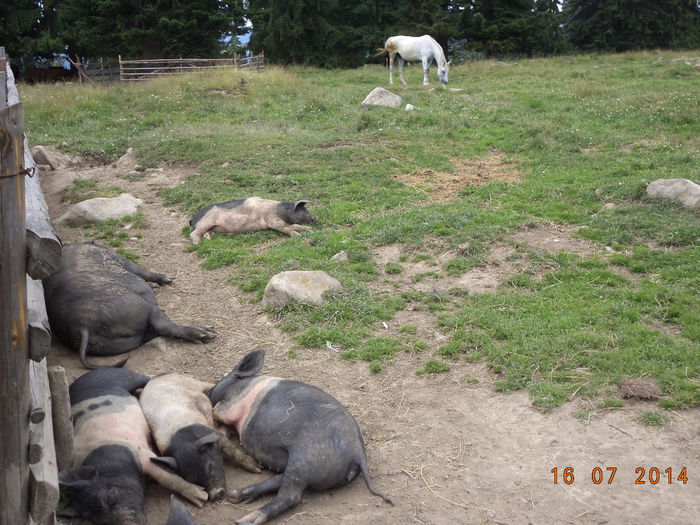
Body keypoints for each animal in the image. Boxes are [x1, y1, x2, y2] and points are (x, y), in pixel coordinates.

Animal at [44, 242, 213, 368]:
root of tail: (83, 326)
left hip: (124, 340)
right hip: (140, 306)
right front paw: (169, 279)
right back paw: (207, 333)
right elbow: (143, 271)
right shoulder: (124, 261)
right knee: (162, 324)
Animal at [58, 368, 206, 524]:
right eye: (95, 519)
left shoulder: (140, 453)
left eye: (107, 498)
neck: (109, 467)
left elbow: (166, 477)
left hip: (126, 377)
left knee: (149, 377)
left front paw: (201, 497)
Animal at [141, 372, 262, 500]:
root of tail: (156, 377)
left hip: (190, 381)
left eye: (210, 466)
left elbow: (231, 449)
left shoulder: (212, 433)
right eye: (193, 480)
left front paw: (257, 469)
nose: (216, 494)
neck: (183, 441)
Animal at [187, 198, 316, 245]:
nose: (316, 218)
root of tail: (193, 218)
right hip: (204, 223)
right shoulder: (272, 219)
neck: (282, 212)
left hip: (209, 226)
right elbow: (287, 227)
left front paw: (309, 230)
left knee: (205, 232)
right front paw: (298, 236)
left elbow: (294, 225)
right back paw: (197, 243)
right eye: (305, 210)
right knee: (193, 233)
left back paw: (208, 239)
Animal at [206, 348, 394, 524]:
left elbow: (218, 411)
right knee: (282, 481)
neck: (241, 382)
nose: (207, 392)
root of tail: (357, 452)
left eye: (215, 384)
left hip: (306, 460)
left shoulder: (231, 402)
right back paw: (237, 495)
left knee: (291, 495)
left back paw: (245, 519)